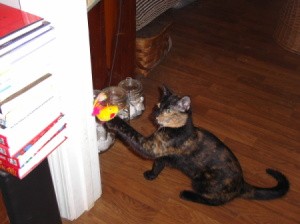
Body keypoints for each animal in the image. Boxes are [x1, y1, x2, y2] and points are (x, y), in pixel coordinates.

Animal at [105, 86, 288, 206]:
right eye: (157, 106)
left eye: (168, 111)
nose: (154, 114)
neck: (177, 129)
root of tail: (242, 183)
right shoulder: (162, 153)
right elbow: (158, 164)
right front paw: (151, 175)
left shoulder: (150, 146)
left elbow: (129, 131)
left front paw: (113, 120)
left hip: (202, 182)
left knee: (215, 201)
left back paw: (187, 195)